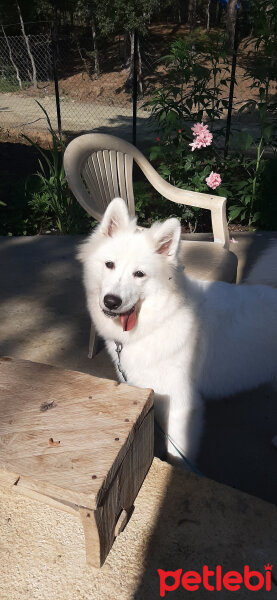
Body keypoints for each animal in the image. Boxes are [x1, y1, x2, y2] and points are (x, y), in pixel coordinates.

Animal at [77, 197, 276, 464]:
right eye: (110, 265)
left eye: (139, 274)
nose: (111, 302)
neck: (160, 319)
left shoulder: (183, 406)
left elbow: (177, 452)